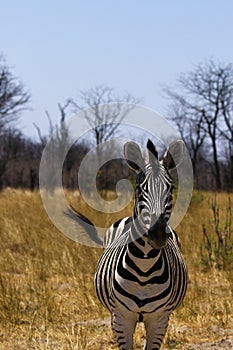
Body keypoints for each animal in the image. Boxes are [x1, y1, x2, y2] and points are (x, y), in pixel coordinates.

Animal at [66, 140, 188, 350]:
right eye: (140, 188)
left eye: (171, 188)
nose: (157, 234)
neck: (144, 268)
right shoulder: (121, 318)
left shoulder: (159, 319)